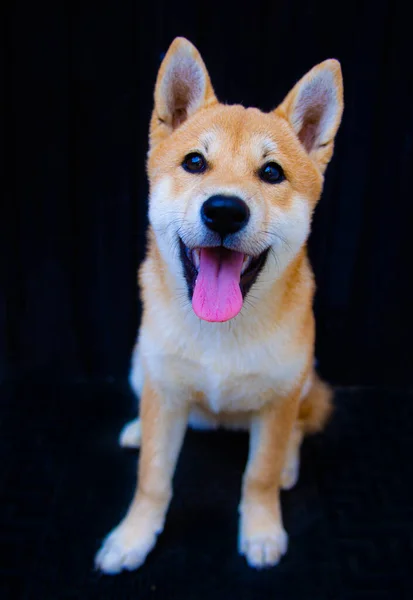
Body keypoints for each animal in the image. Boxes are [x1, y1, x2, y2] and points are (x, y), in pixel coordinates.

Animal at [95, 35, 342, 576]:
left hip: (304, 378)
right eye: (194, 163)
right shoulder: (165, 390)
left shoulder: (278, 398)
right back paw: (136, 429)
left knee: (298, 426)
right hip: (140, 365)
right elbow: (152, 479)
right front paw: (133, 537)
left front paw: (262, 530)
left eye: (271, 172)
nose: (225, 210)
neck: (220, 333)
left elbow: (259, 476)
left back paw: (290, 461)